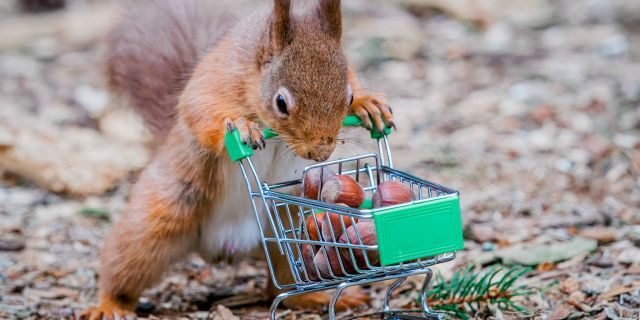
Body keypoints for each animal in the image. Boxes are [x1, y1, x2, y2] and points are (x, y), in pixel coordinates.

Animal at [82, 1, 392, 318]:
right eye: (281, 103)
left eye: (348, 96)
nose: (320, 154)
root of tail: (227, 245)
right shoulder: (216, 81)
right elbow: (199, 110)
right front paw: (241, 127)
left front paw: (370, 104)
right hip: (157, 220)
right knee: (124, 264)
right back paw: (110, 305)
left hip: (294, 224)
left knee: (282, 286)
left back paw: (319, 297)